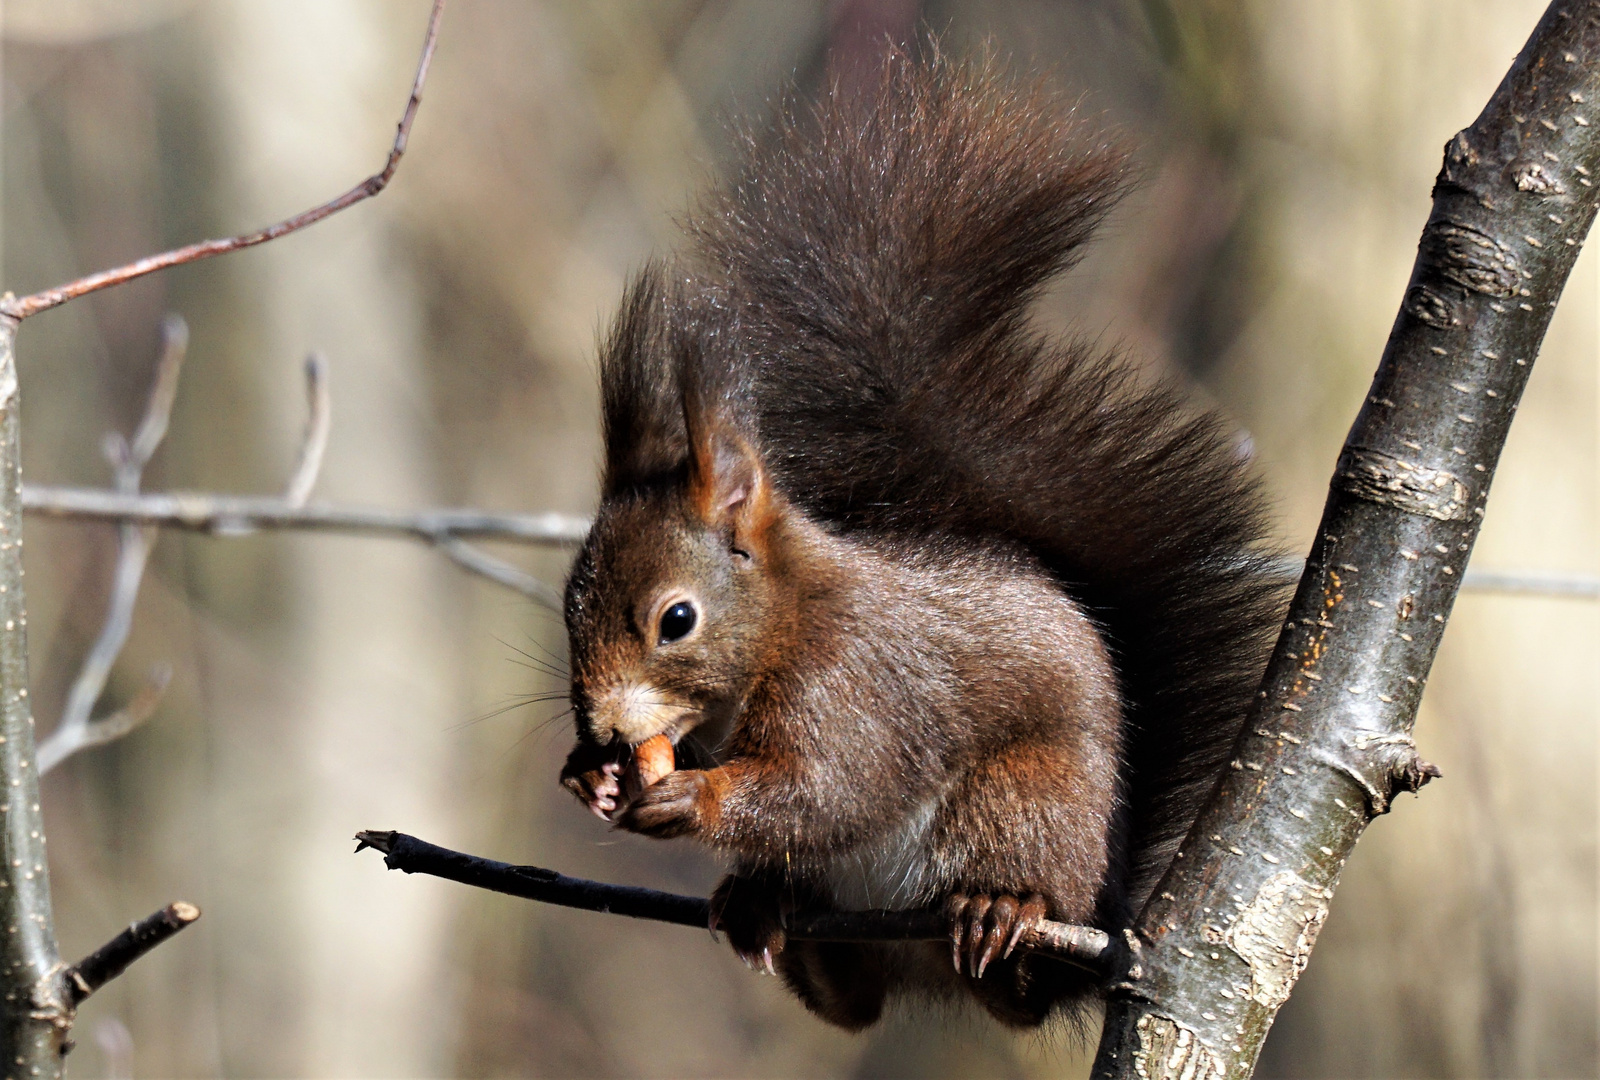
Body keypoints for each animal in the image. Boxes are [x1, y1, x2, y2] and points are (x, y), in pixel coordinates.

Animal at [556, 48, 1280, 1030]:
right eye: (568, 604)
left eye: (676, 619)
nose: (598, 723)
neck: (785, 622)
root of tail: (1105, 912)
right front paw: (588, 775)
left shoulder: (857, 685)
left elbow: (833, 787)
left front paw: (693, 795)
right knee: (851, 1001)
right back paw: (765, 909)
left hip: (1025, 804)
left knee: (1012, 977)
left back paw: (1000, 911)